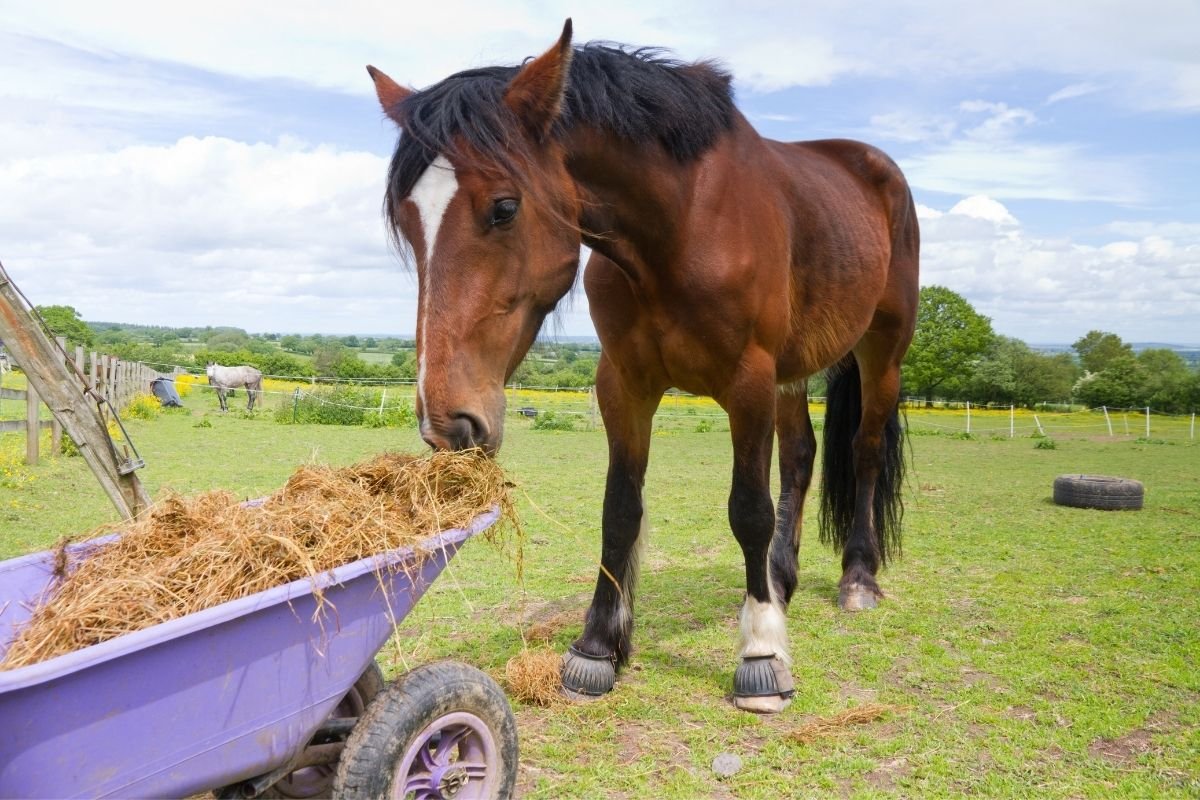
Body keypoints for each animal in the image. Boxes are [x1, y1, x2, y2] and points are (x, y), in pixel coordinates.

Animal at [369, 20, 912, 714]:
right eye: (407, 220)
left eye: (504, 207)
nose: (448, 424)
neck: (682, 225)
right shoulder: (624, 384)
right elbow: (620, 508)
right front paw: (598, 647)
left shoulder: (749, 383)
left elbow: (748, 510)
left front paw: (762, 655)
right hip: (793, 373)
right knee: (800, 457)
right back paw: (782, 578)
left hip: (881, 351)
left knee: (864, 452)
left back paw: (858, 578)